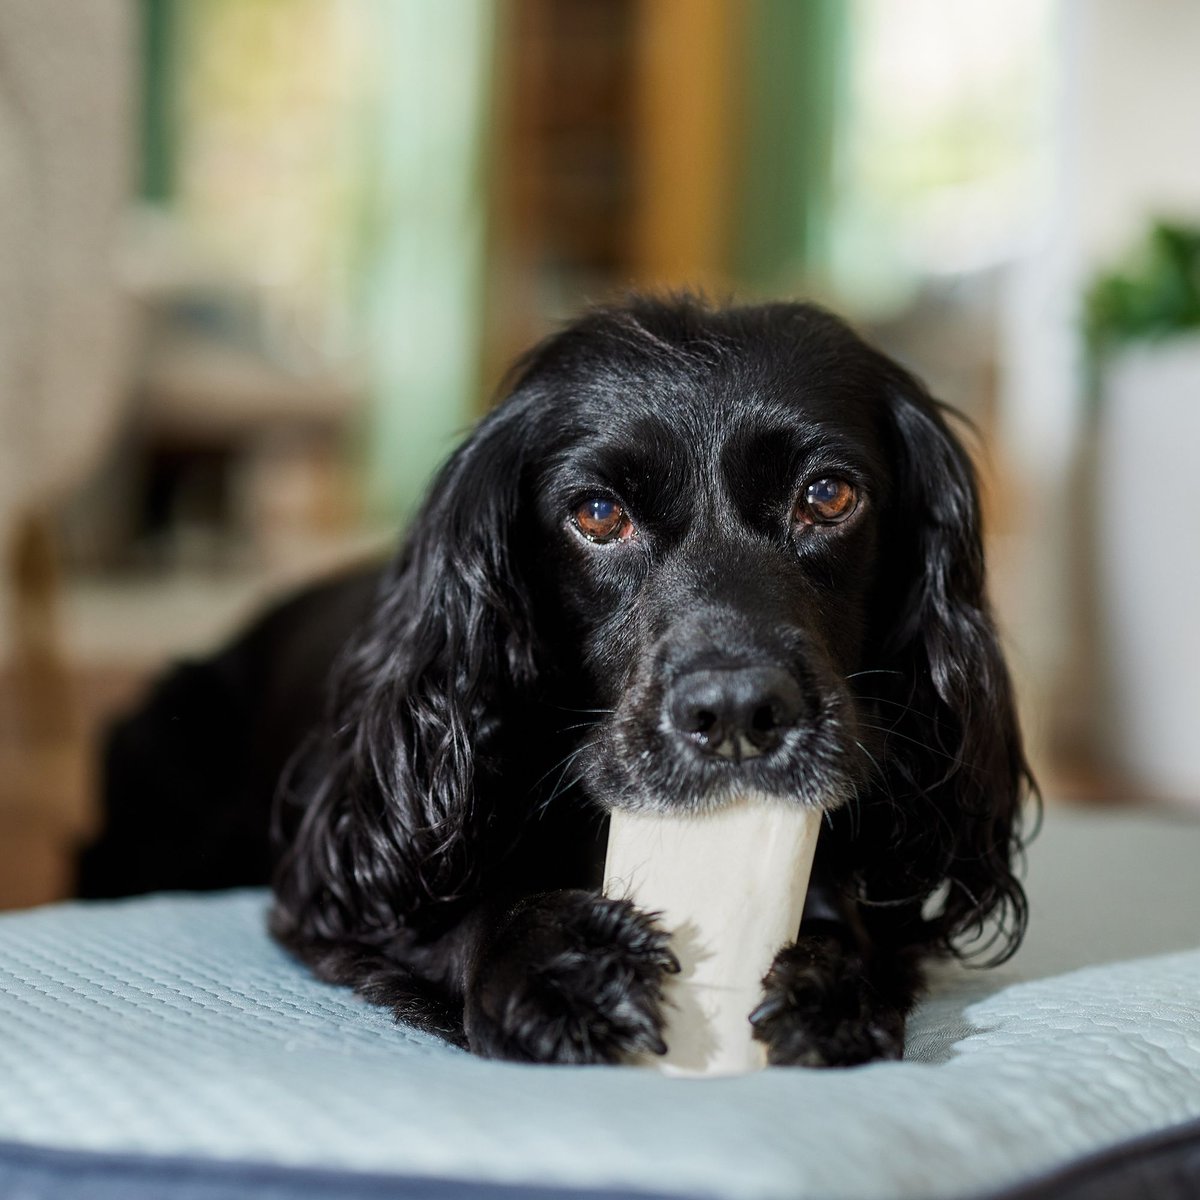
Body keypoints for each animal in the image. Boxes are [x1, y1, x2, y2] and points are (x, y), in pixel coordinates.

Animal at [77, 297, 1032, 1070]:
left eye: (828, 496)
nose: (736, 712)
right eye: (599, 514)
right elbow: (446, 913)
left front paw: (832, 979)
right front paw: (558, 964)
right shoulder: (336, 884)